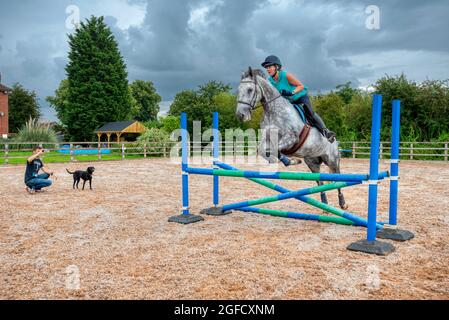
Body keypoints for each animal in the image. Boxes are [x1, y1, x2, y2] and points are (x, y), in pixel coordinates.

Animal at [236, 67, 348, 210]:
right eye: (238, 90)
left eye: (250, 90)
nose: (240, 115)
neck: (272, 111)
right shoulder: (268, 138)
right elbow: (262, 150)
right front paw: (288, 161)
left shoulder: (292, 139)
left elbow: (275, 150)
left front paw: (290, 161)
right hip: (312, 162)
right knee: (320, 181)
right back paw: (324, 203)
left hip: (332, 160)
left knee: (338, 179)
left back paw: (342, 203)